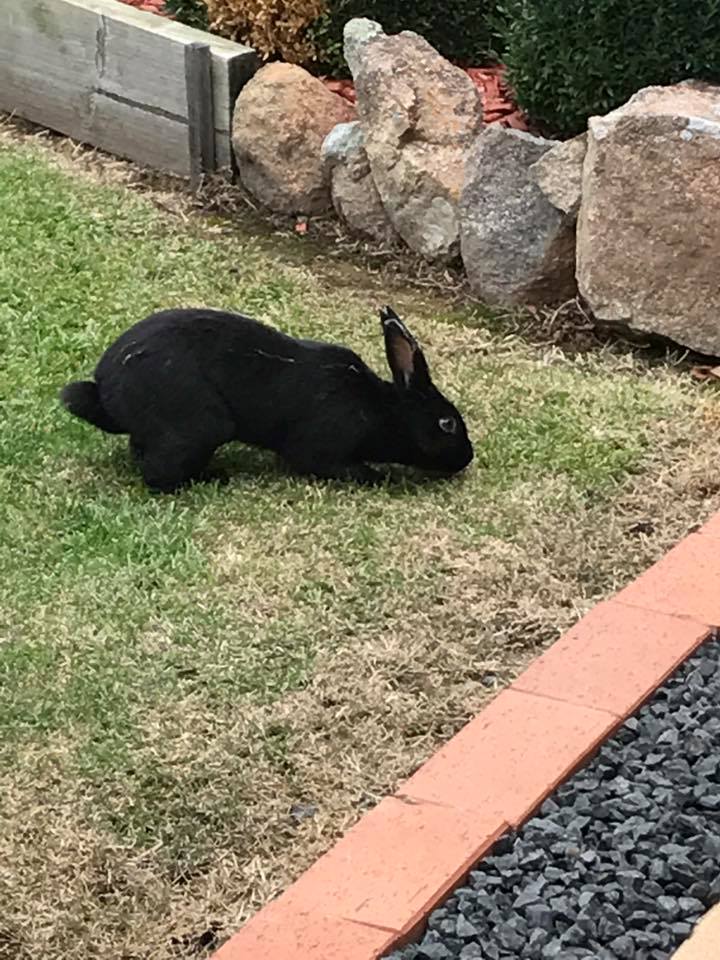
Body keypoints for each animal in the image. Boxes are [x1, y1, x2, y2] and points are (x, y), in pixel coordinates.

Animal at [60, 305, 474, 492]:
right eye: (447, 423)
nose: (467, 457)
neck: (379, 408)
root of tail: (105, 389)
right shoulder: (320, 447)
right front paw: (377, 477)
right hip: (201, 426)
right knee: (157, 475)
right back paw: (212, 478)